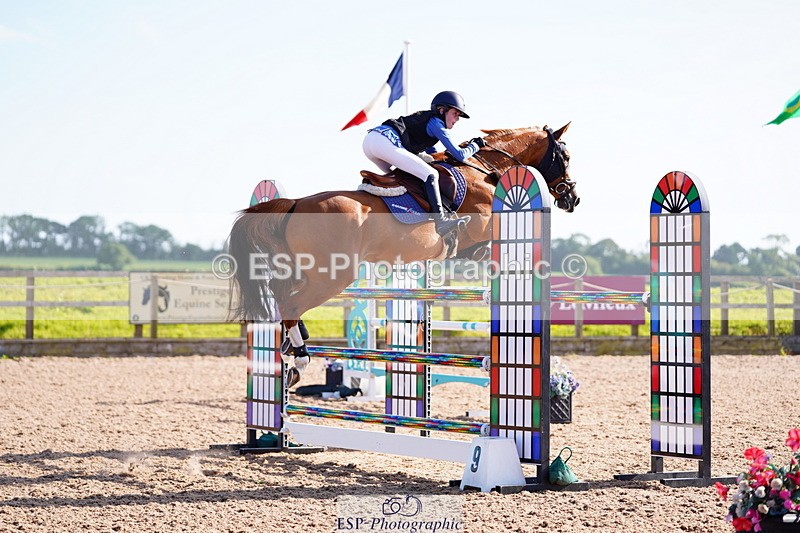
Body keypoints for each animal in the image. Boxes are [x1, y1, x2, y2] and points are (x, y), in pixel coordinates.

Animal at [228, 123, 577, 385]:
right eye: (566, 155)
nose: (572, 198)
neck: (484, 170)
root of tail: (296, 203)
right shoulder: (481, 229)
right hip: (332, 277)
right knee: (290, 304)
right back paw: (299, 358)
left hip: (306, 271)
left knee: (281, 298)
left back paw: (291, 346)